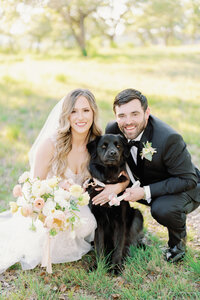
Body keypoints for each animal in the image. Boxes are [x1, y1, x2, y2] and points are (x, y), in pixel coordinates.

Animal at [86, 134, 144, 272]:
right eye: (103, 146)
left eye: (118, 146)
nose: (113, 153)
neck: (109, 181)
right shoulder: (98, 221)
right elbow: (99, 246)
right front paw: (99, 266)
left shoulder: (120, 221)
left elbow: (118, 246)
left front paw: (116, 267)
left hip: (137, 215)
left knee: (130, 242)